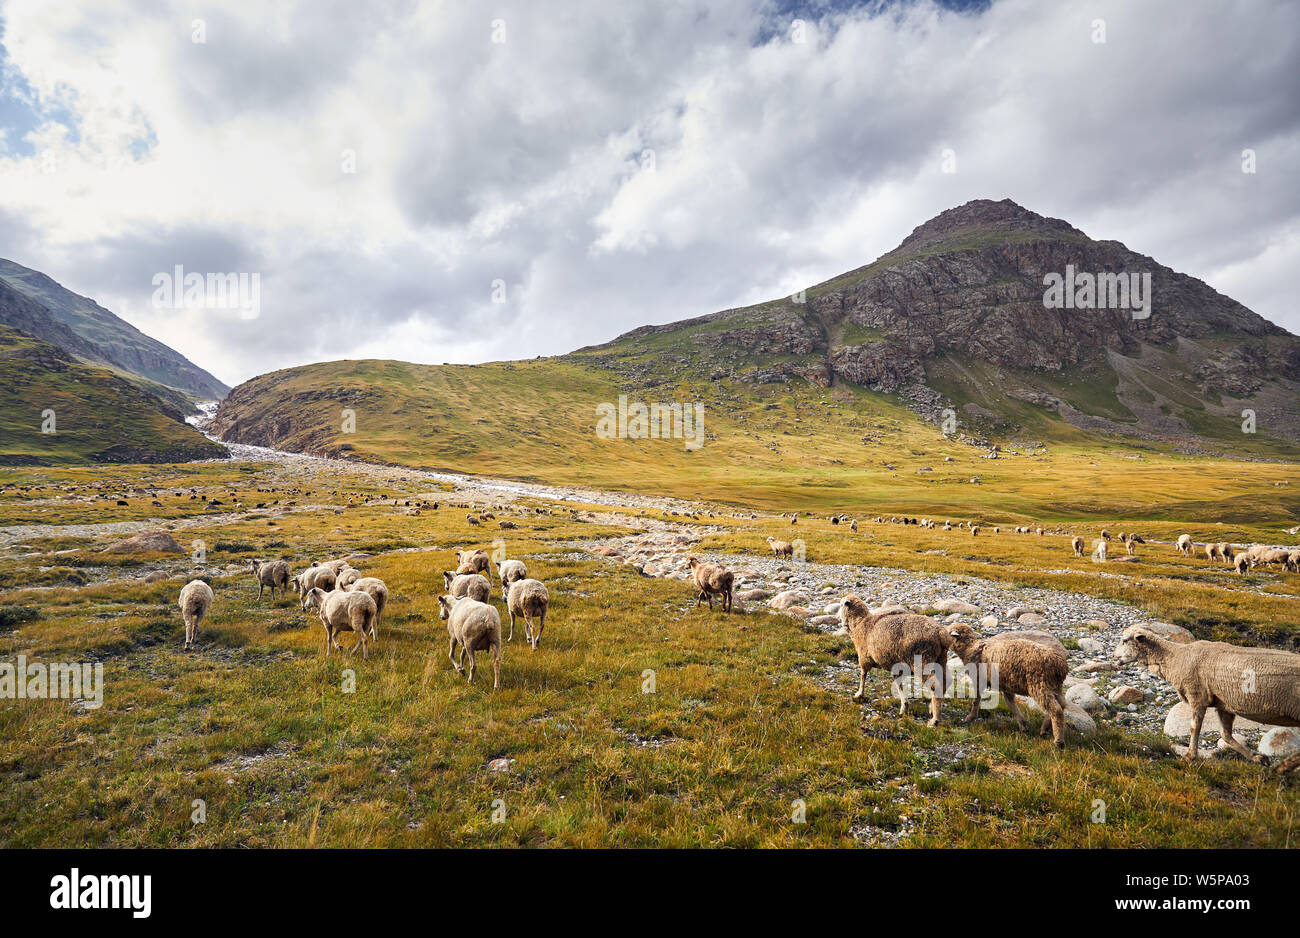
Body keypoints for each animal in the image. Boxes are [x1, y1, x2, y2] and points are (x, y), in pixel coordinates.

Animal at [837, 592, 951, 722]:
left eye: (841, 605)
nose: (838, 618)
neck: (859, 623)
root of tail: (940, 633)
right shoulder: (896, 665)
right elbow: (899, 684)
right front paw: (904, 706)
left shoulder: (864, 657)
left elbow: (863, 675)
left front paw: (859, 694)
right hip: (940, 659)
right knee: (946, 681)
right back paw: (932, 708)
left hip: (923, 660)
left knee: (935, 685)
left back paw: (935, 720)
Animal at [1112, 623, 1300, 763]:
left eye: (1125, 640)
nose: (1113, 657)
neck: (1176, 658)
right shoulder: (1223, 703)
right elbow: (1226, 735)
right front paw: (1257, 758)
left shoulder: (1197, 694)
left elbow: (1194, 727)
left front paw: (1190, 756)